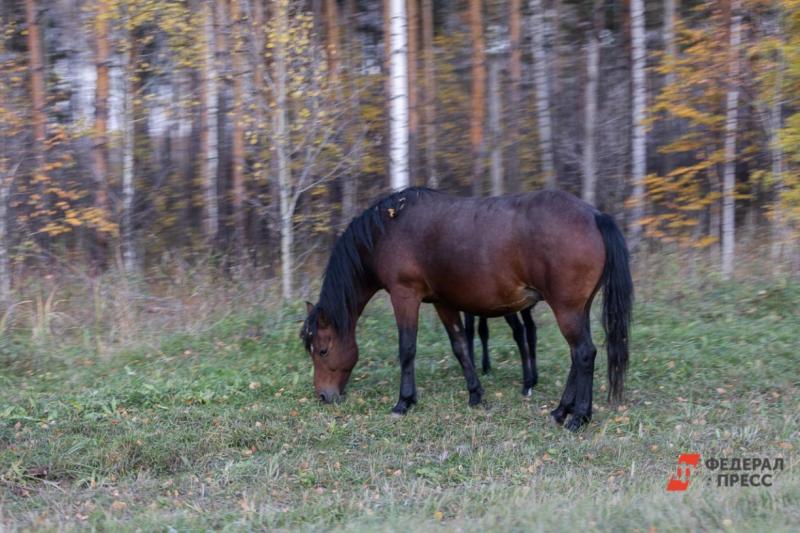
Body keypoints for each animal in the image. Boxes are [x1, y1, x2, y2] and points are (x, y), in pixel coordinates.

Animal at [304, 186, 636, 428]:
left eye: (322, 350)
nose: (323, 395)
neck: (387, 229)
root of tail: (595, 215)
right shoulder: (443, 302)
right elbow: (461, 347)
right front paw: (476, 396)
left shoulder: (404, 295)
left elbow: (407, 349)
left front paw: (404, 402)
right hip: (578, 308)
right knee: (577, 355)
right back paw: (560, 411)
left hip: (566, 308)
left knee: (584, 353)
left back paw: (578, 417)